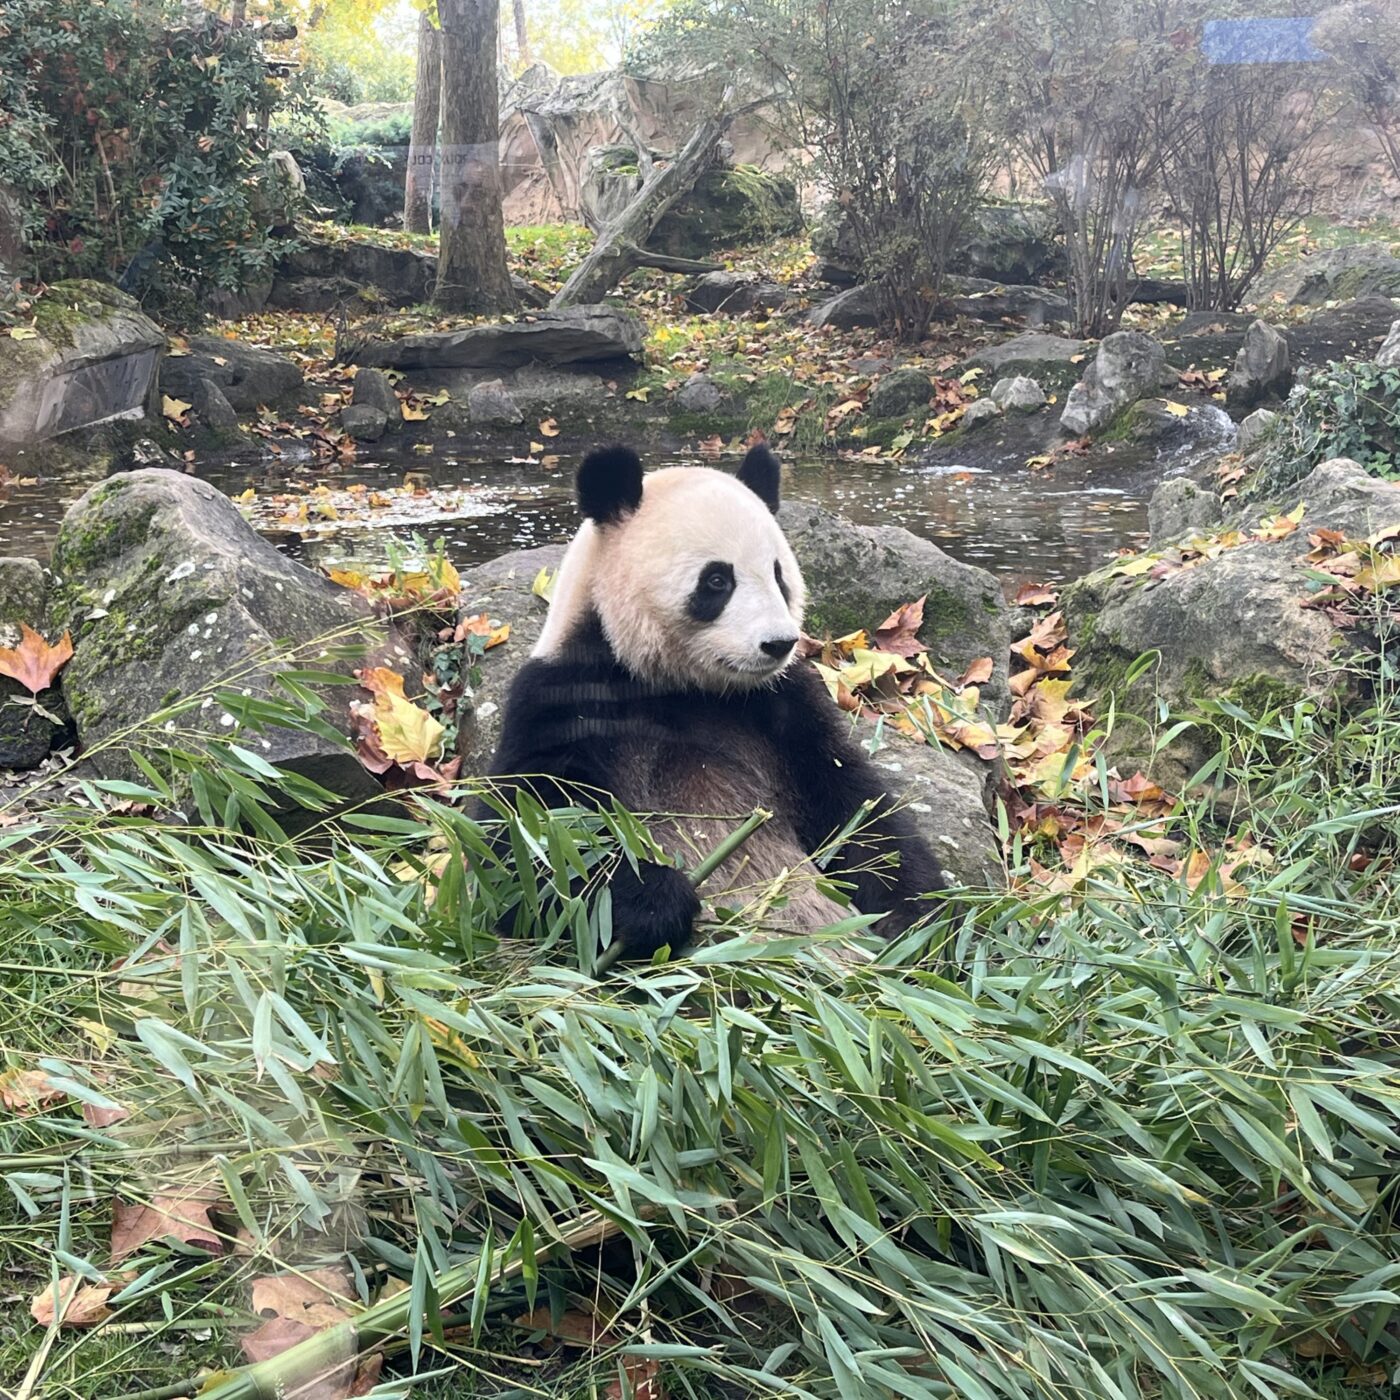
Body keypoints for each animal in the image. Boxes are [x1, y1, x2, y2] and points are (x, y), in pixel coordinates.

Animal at [484, 442, 948, 958]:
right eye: (717, 581)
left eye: (778, 575)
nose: (778, 643)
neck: (685, 687)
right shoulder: (567, 695)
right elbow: (527, 840)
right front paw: (654, 899)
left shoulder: (782, 705)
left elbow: (855, 805)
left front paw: (917, 919)